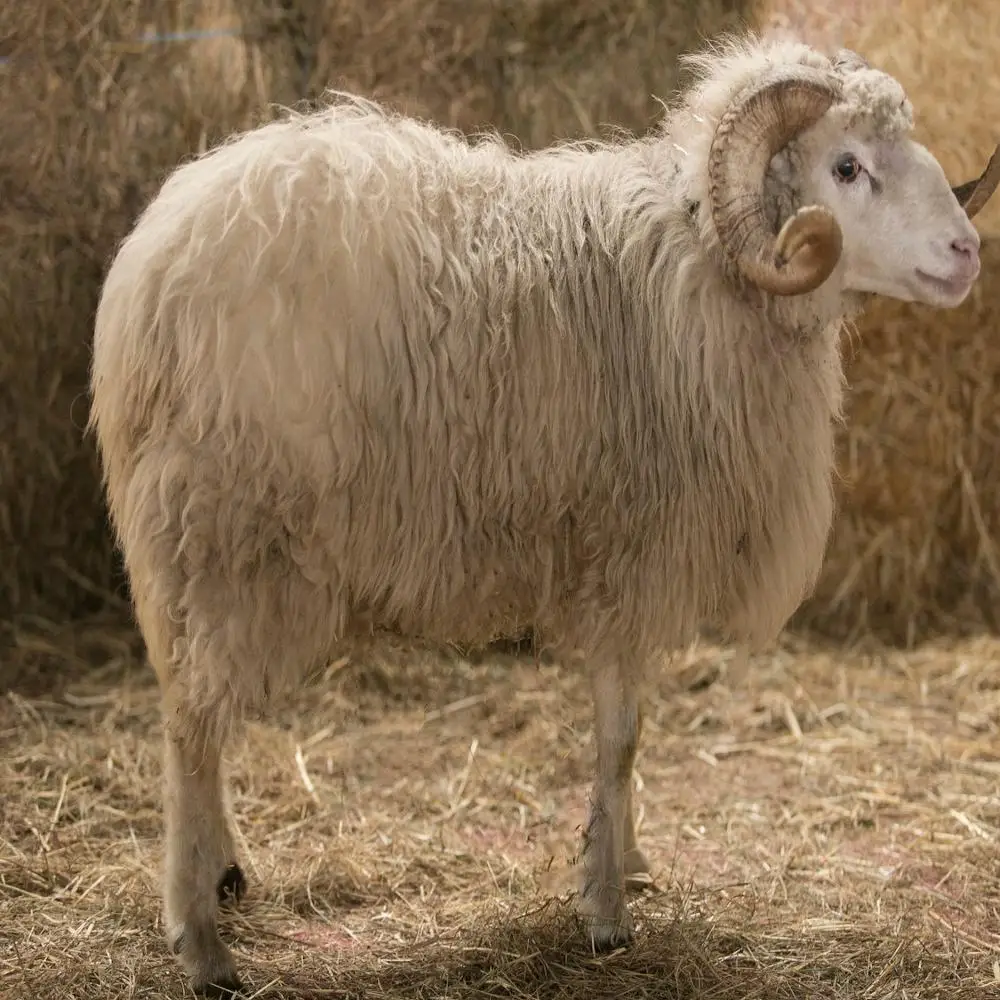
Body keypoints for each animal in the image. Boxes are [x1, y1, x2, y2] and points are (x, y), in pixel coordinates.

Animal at [89, 32, 999, 997]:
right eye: (847, 165)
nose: (965, 250)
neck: (697, 261)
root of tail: (147, 270)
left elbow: (632, 729)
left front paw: (629, 860)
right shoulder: (628, 545)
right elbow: (621, 738)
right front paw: (605, 909)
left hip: (191, 546)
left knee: (190, 705)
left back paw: (223, 873)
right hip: (226, 531)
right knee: (192, 725)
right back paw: (199, 941)